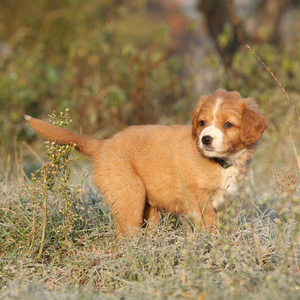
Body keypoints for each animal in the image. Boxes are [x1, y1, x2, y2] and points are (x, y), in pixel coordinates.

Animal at [24, 90, 266, 236]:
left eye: (228, 124)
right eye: (202, 123)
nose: (205, 139)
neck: (220, 161)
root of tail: (103, 144)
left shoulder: (226, 200)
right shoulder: (197, 197)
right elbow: (210, 223)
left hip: (150, 208)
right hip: (130, 195)